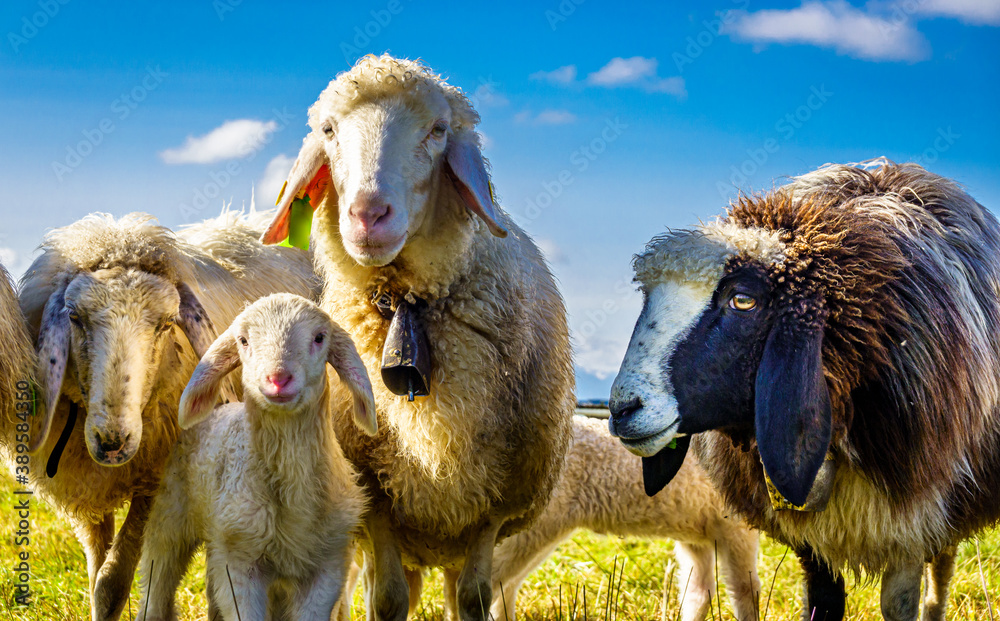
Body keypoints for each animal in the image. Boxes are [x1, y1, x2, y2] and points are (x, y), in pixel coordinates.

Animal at [19, 209, 316, 620]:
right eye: (75, 318)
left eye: (165, 323)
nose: (113, 441)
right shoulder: (88, 484)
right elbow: (96, 578)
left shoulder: (157, 477)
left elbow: (112, 582)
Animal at [135, 292, 376, 620]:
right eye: (243, 340)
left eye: (319, 337)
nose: (278, 379)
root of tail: (220, 409)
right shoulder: (239, 563)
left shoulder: (328, 566)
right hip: (170, 516)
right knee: (157, 580)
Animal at [608, 161, 1000, 620]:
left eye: (743, 300)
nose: (623, 409)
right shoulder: (810, 535)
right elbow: (823, 603)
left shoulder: (911, 522)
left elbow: (898, 604)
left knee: (942, 570)